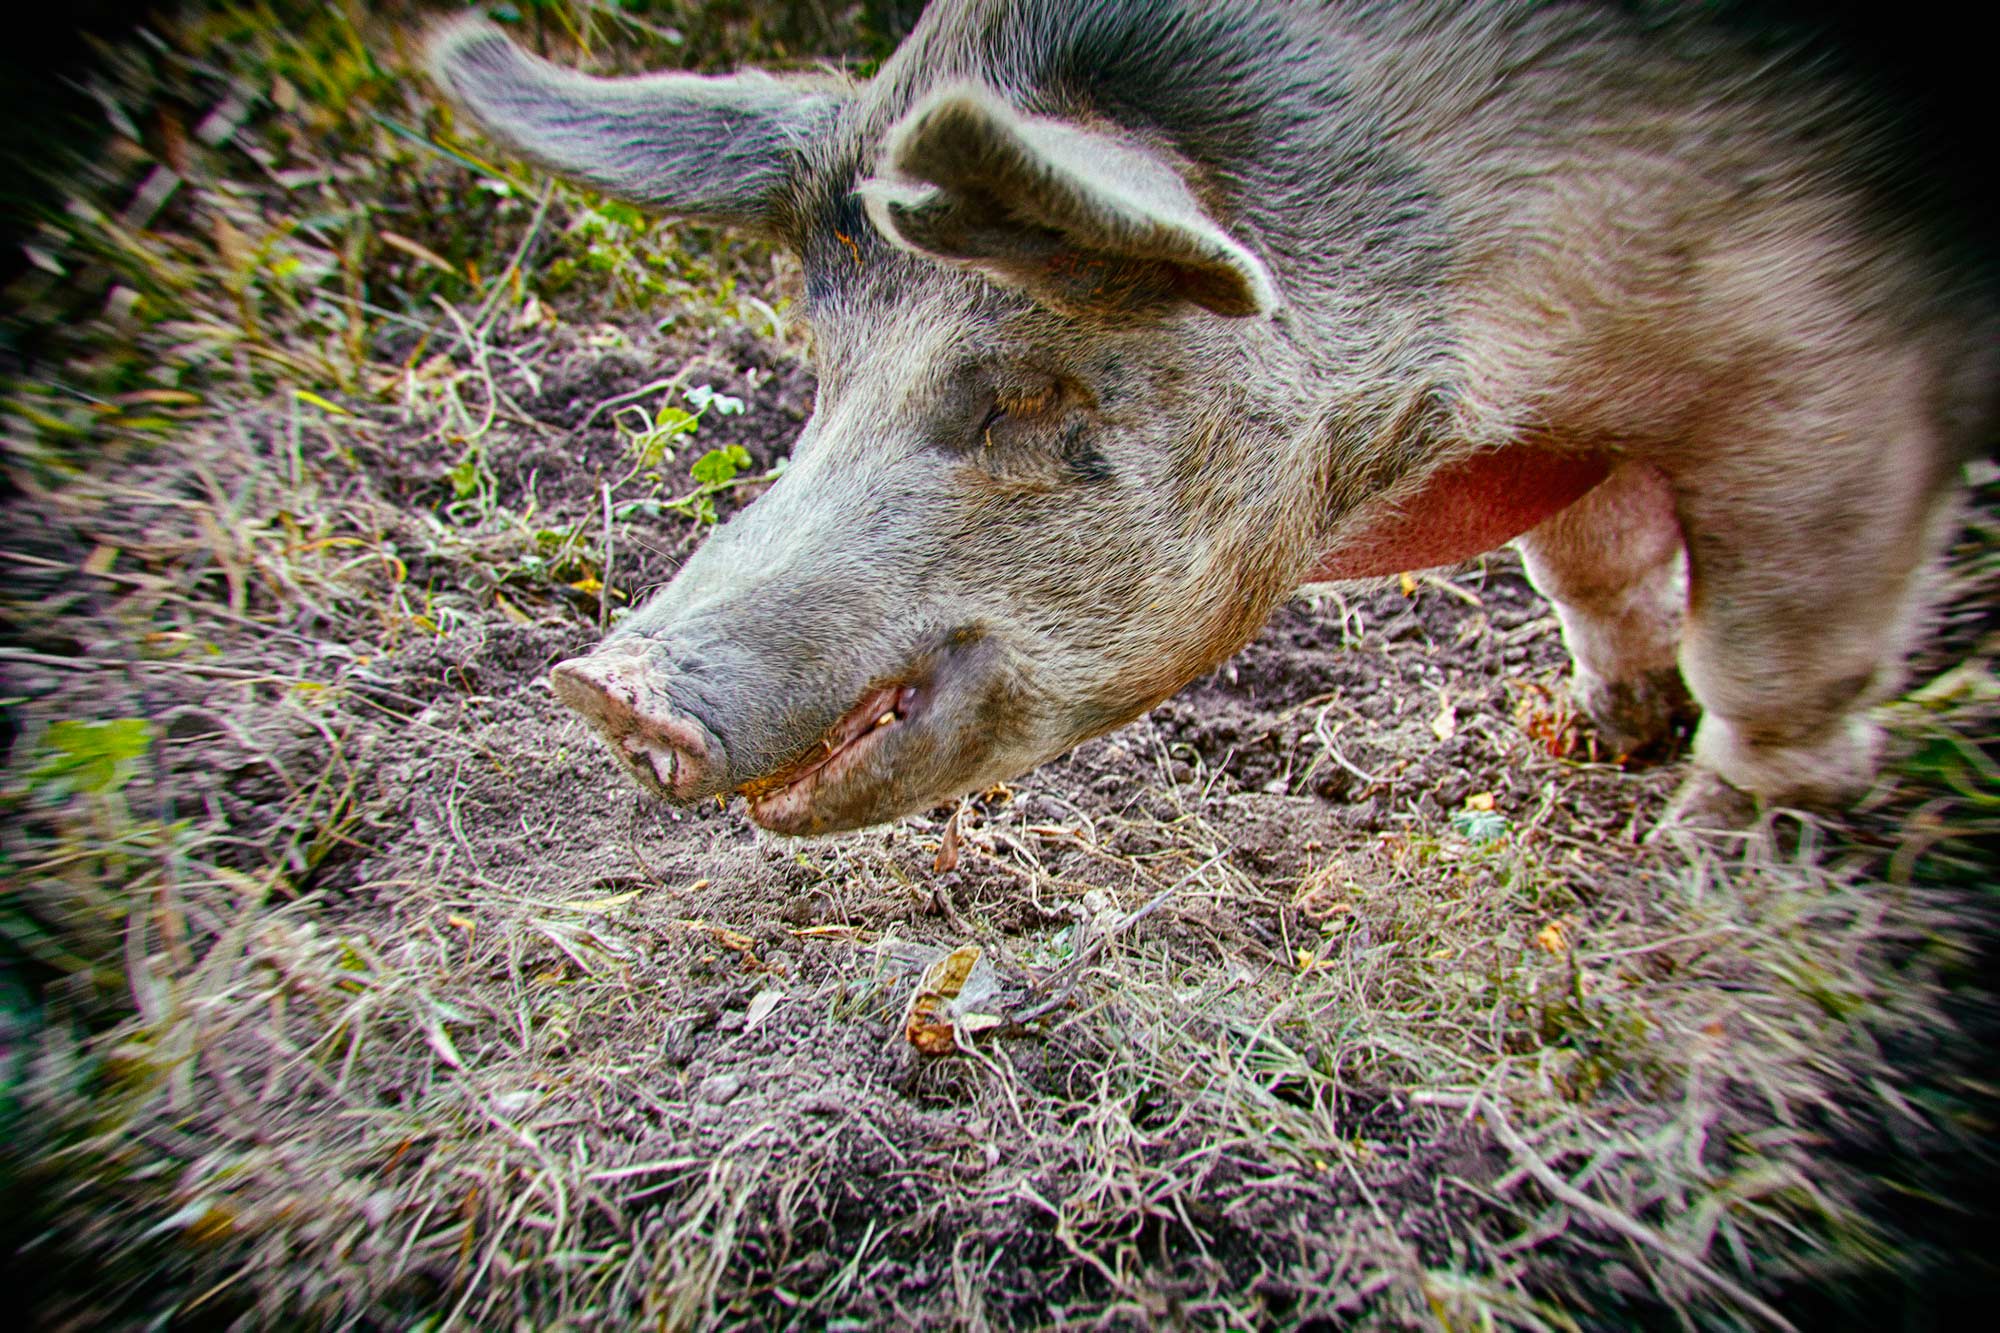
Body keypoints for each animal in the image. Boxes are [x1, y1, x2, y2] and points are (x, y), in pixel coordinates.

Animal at [430, 0, 1992, 832]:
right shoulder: (1579, 430)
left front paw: (1711, 836)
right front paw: (1594, 736)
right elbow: (1592, 571)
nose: (602, 686)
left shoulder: (1830, 370)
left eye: (1025, 390)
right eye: (824, 370)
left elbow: (1775, 643)